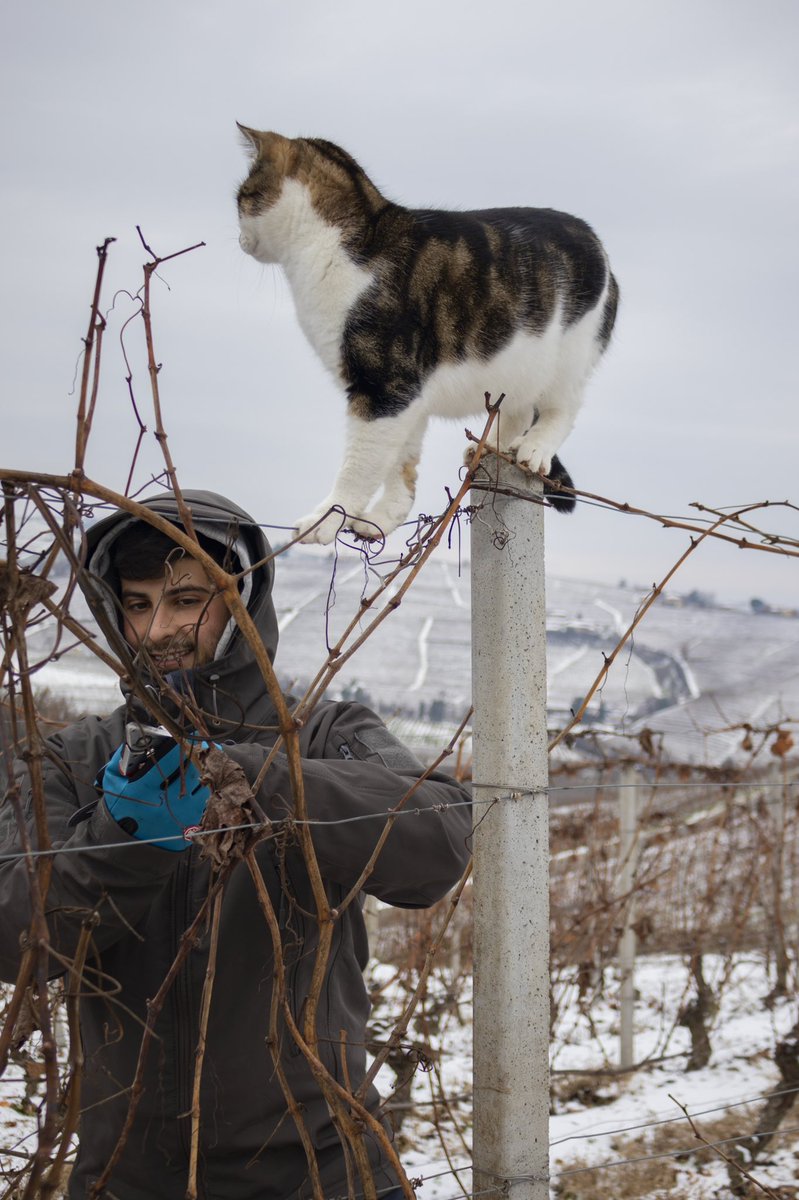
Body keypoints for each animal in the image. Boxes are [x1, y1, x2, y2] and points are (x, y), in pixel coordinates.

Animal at [236, 127, 614, 544]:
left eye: (240, 199)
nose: (238, 239)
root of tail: (597, 242)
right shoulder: (406, 397)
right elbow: (400, 463)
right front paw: (381, 518)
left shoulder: (384, 386)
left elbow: (359, 466)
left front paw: (326, 520)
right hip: (516, 367)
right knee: (517, 409)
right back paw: (494, 446)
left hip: (569, 355)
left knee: (563, 408)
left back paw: (533, 448)